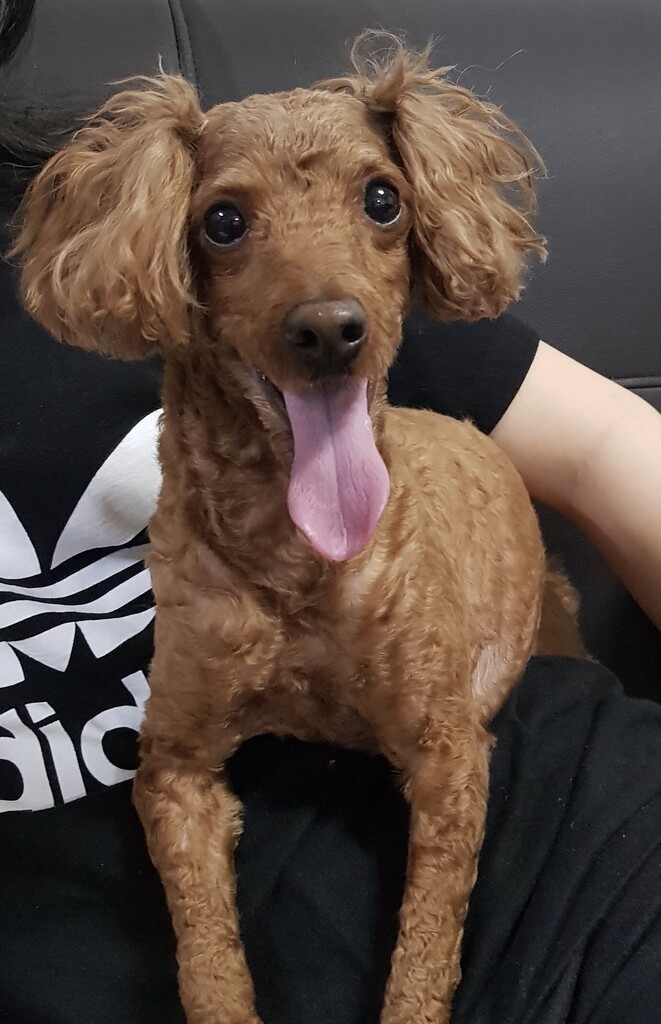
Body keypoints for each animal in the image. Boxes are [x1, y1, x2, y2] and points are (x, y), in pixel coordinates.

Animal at [13, 35, 583, 1024]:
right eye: (223, 221)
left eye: (383, 199)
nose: (327, 329)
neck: (294, 568)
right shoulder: (173, 763)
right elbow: (205, 955)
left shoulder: (447, 756)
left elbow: (424, 951)